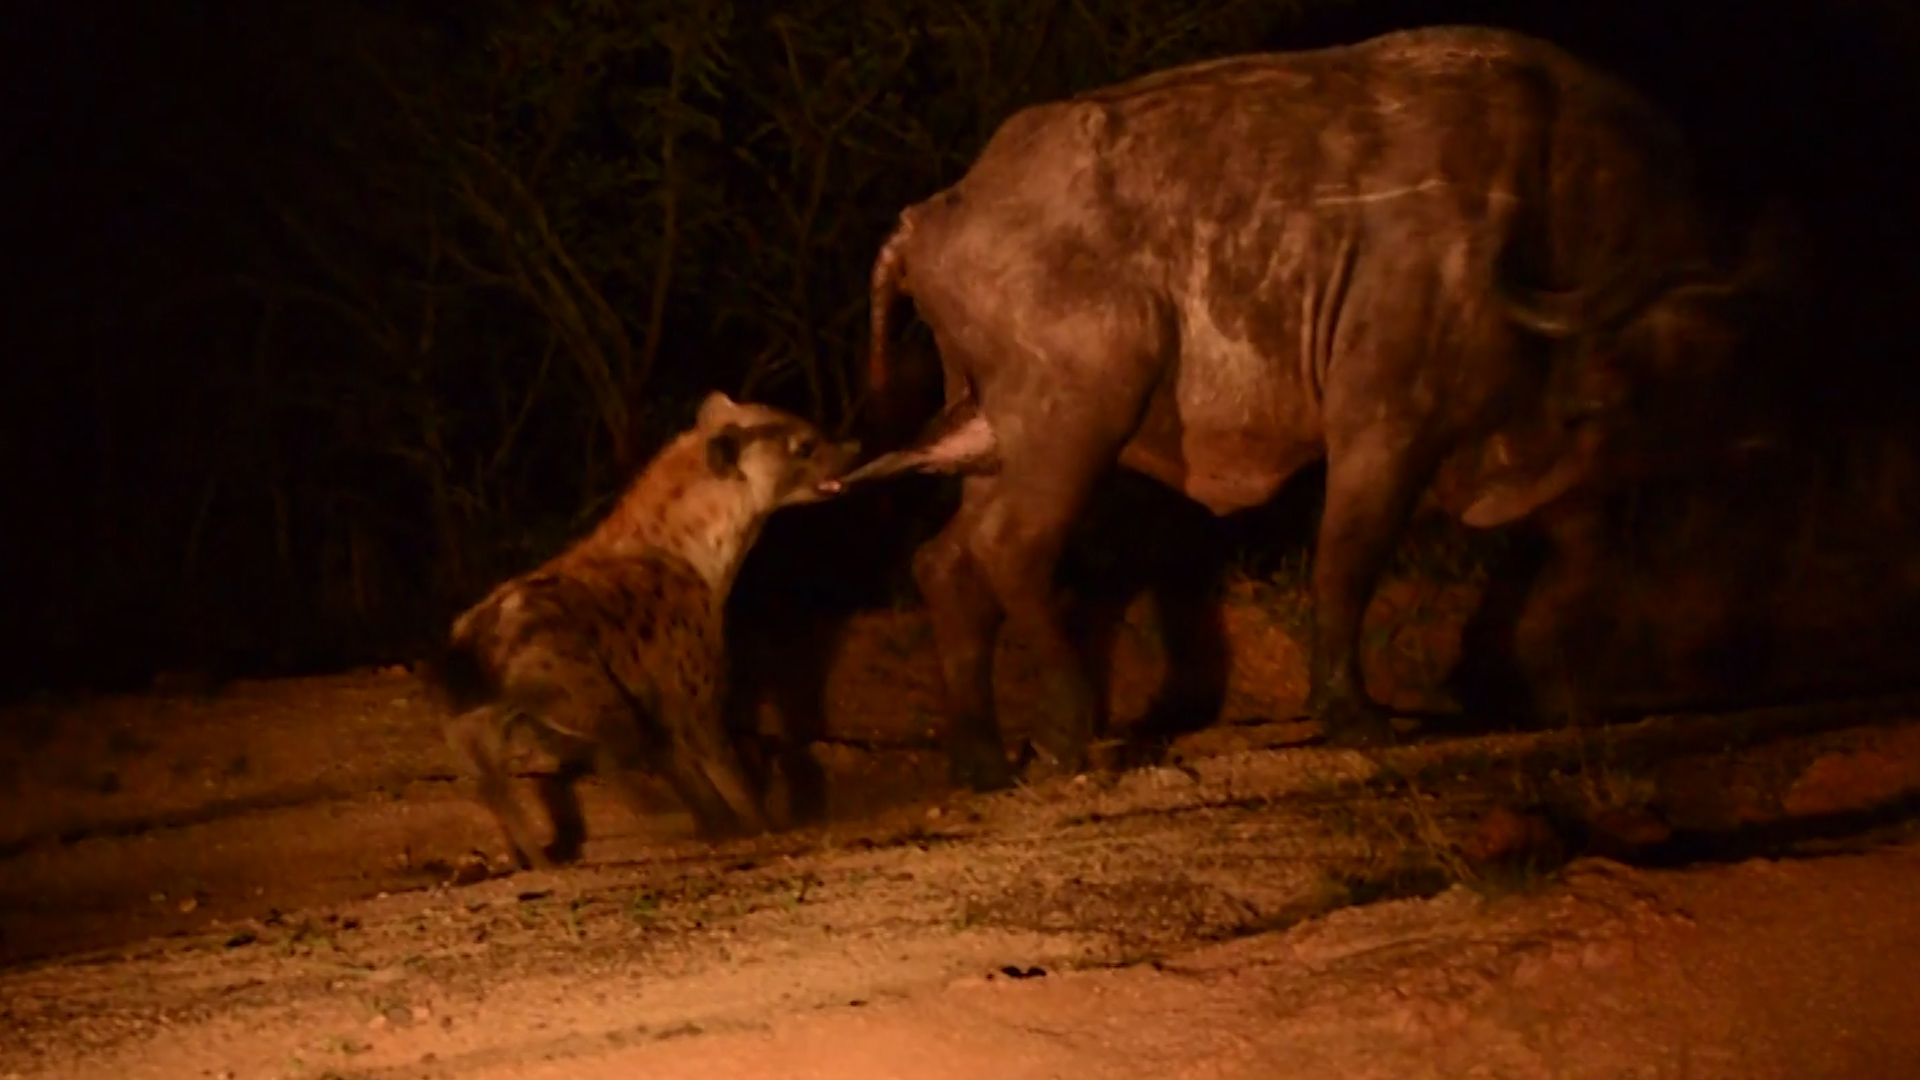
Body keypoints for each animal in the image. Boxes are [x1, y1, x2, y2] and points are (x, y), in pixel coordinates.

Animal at [848, 25, 1774, 791]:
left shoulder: (1524, 449)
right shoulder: (1387, 428)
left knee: (947, 564)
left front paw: (1552, 687)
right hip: (1079, 417)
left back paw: (980, 757)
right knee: (1014, 549)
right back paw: (1068, 732)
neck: (1540, 197)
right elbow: (1349, 558)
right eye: (1685, 339)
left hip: (998, 439)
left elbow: (1575, 555)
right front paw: (1354, 713)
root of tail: (934, 215)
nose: (1751, 442)